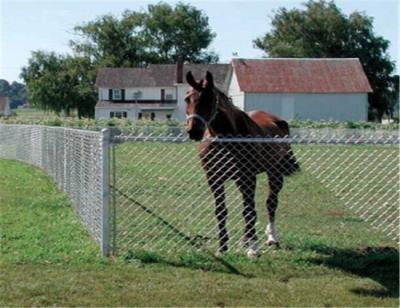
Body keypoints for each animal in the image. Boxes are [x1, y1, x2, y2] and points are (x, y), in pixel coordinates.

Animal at [186, 71, 298, 256]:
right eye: (187, 98)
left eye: (209, 99)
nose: (193, 131)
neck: (226, 139)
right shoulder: (214, 178)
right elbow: (221, 211)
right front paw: (222, 247)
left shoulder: (248, 177)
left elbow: (249, 211)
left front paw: (253, 249)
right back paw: (245, 239)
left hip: (274, 173)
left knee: (271, 203)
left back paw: (271, 238)